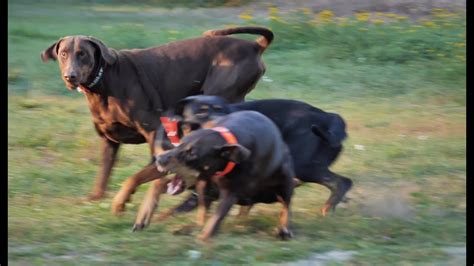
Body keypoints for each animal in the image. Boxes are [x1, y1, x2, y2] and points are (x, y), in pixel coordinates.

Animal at [40, 27, 274, 214]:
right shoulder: (109, 141)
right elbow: (103, 174)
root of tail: (254, 46)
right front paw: (95, 198)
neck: (105, 81)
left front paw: (121, 201)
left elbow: (138, 174)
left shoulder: (154, 131)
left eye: (83, 54)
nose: (70, 76)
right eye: (63, 54)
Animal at [134, 110, 296, 241]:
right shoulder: (204, 184)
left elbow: (215, 219)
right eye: (180, 143)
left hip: (284, 181)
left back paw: (284, 230)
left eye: (192, 153)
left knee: (286, 204)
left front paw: (203, 238)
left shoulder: (231, 192)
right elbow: (204, 216)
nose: (159, 159)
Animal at [159, 94, 352, 217]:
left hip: (303, 164)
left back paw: (328, 209)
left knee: (342, 182)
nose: (223, 119)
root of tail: (328, 117)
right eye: (200, 111)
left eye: (222, 110)